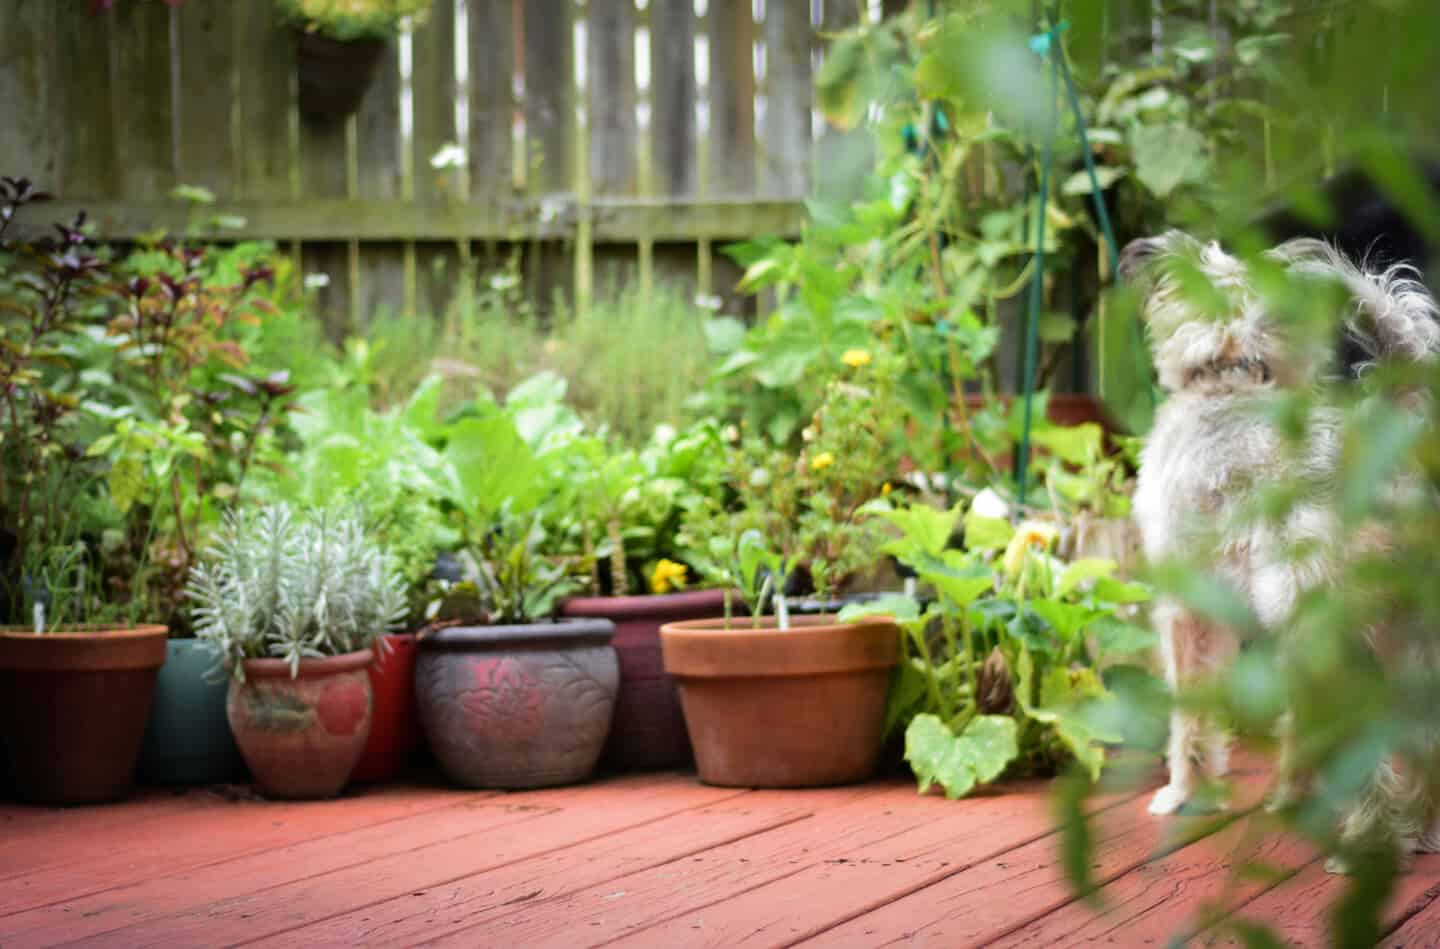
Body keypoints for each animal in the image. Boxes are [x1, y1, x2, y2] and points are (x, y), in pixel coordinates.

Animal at [1123, 231, 1440, 869]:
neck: (1230, 375)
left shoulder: (1187, 612)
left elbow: (1188, 715)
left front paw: (1182, 793)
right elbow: (1293, 725)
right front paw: (1290, 794)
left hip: (1327, 633)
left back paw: (1364, 844)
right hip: (1408, 636)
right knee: (1425, 741)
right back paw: (1416, 831)